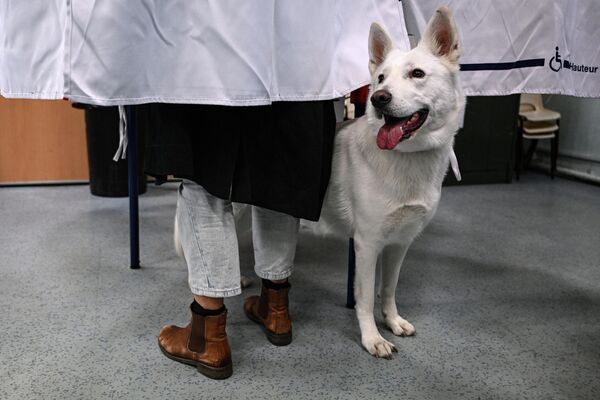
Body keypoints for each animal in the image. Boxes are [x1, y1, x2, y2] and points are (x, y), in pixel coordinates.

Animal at [318, 5, 464, 356]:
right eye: (381, 78)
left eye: (417, 74)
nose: (378, 99)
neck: (407, 156)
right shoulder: (367, 245)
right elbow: (365, 299)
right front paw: (372, 338)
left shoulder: (399, 244)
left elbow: (388, 289)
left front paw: (393, 322)